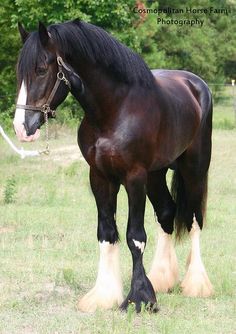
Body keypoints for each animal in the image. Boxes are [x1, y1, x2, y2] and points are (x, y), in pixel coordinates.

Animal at [12, 20, 213, 314]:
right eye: (20, 72)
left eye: (40, 69)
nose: (21, 128)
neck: (116, 109)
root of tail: (196, 85)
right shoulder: (100, 177)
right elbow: (107, 234)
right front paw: (104, 295)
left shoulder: (134, 177)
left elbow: (135, 236)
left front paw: (139, 298)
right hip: (156, 174)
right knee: (167, 213)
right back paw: (161, 279)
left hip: (194, 169)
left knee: (194, 220)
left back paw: (196, 284)